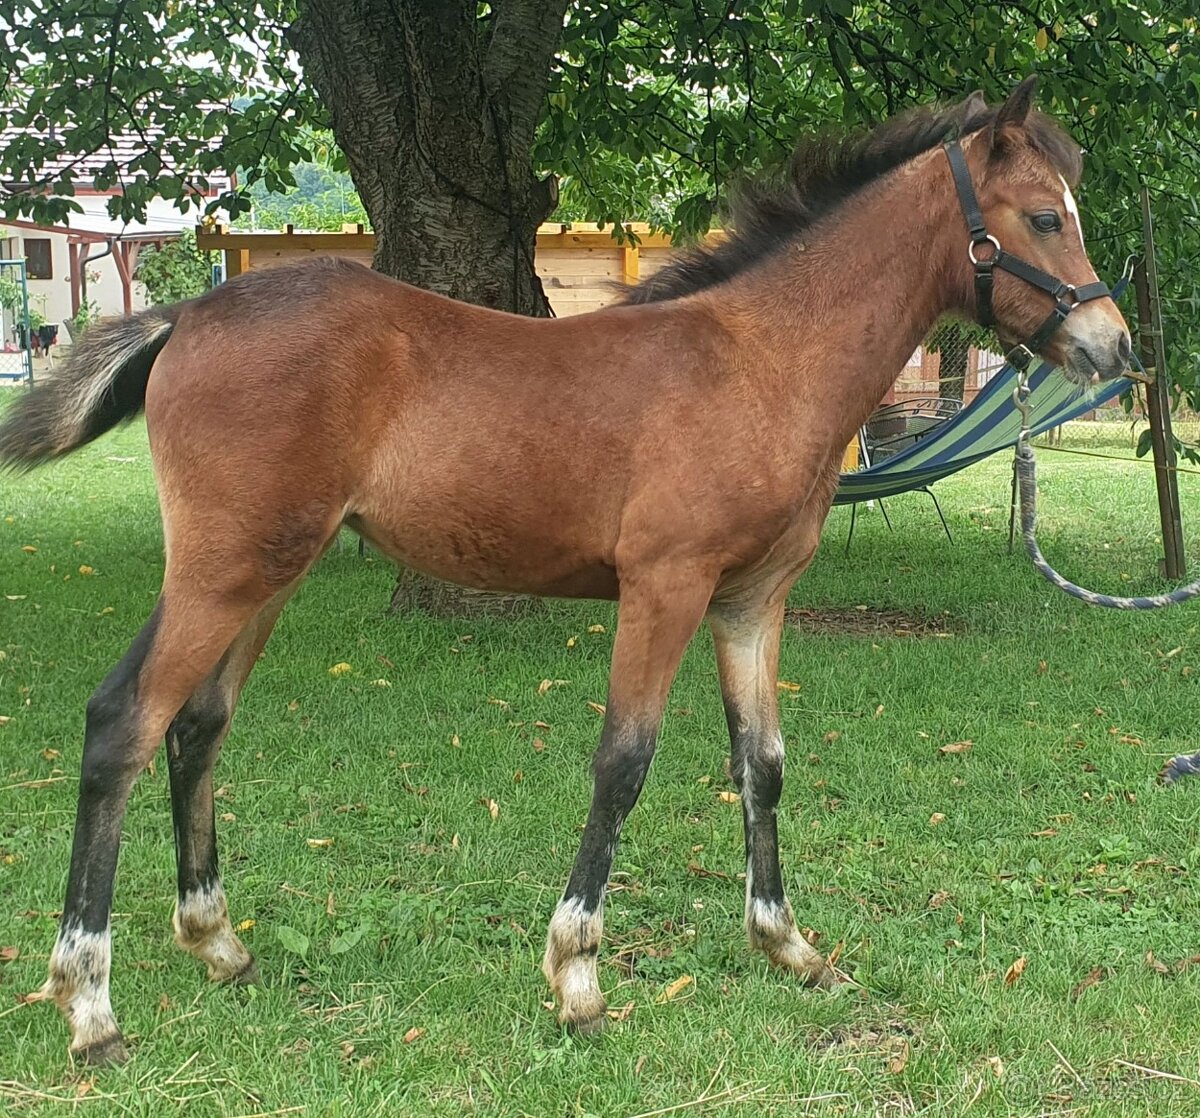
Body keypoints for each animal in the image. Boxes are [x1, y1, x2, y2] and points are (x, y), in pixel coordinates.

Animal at [0, 76, 1130, 1065]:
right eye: (1043, 217)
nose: (1112, 345)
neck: (762, 358)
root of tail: (187, 315)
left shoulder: (751, 600)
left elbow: (761, 762)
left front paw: (786, 943)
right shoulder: (665, 586)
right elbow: (623, 762)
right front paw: (577, 975)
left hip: (271, 572)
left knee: (197, 727)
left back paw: (217, 942)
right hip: (220, 571)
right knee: (124, 722)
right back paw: (89, 1004)